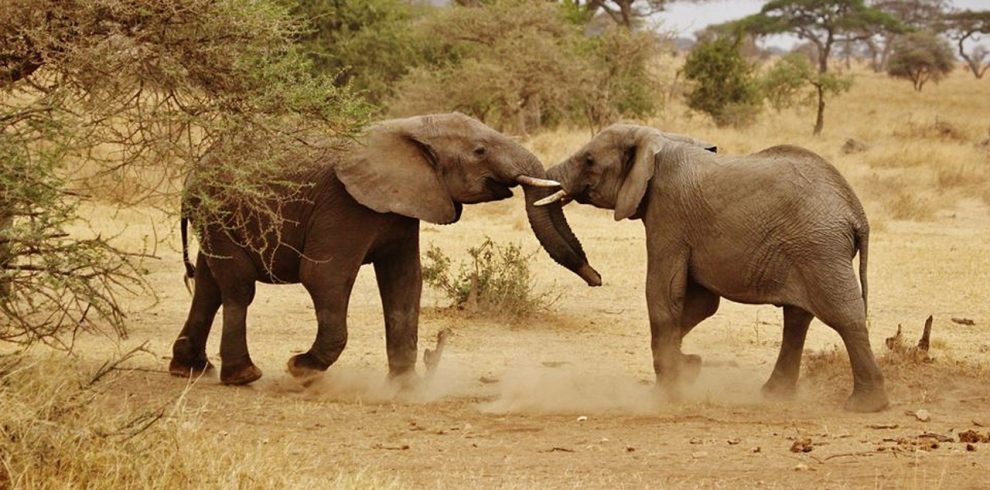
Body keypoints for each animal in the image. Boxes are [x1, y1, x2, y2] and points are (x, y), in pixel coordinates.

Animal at [169, 113, 601, 386]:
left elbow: (405, 282)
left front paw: (405, 385)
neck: (407, 128)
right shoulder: (344, 205)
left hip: (216, 216)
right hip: (218, 209)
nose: (596, 277)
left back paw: (189, 370)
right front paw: (300, 369)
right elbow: (324, 277)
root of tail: (194, 171)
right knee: (238, 287)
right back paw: (243, 377)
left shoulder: (404, 206)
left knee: (208, 284)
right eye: (480, 151)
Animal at [541, 124, 888, 412]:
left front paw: (665, 394)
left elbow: (663, 295)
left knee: (843, 316)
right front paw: (690, 367)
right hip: (807, 250)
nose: (596, 278)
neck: (659, 139)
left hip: (819, 248)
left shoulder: (668, 216)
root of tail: (857, 213)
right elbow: (701, 304)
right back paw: (774, 395)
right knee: (797, 318)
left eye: (588, 160)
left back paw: (866, 406)